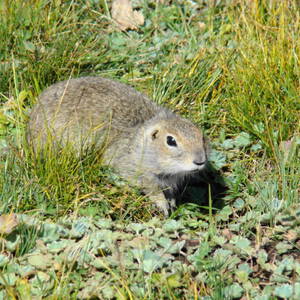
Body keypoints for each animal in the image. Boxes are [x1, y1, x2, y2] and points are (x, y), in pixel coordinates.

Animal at [28, 76, 209, 214]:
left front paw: (171, 203)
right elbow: (152, 189)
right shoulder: (137, 171)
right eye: (171, 141)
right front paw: (163, 206)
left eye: (202, 136)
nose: (200, 161)